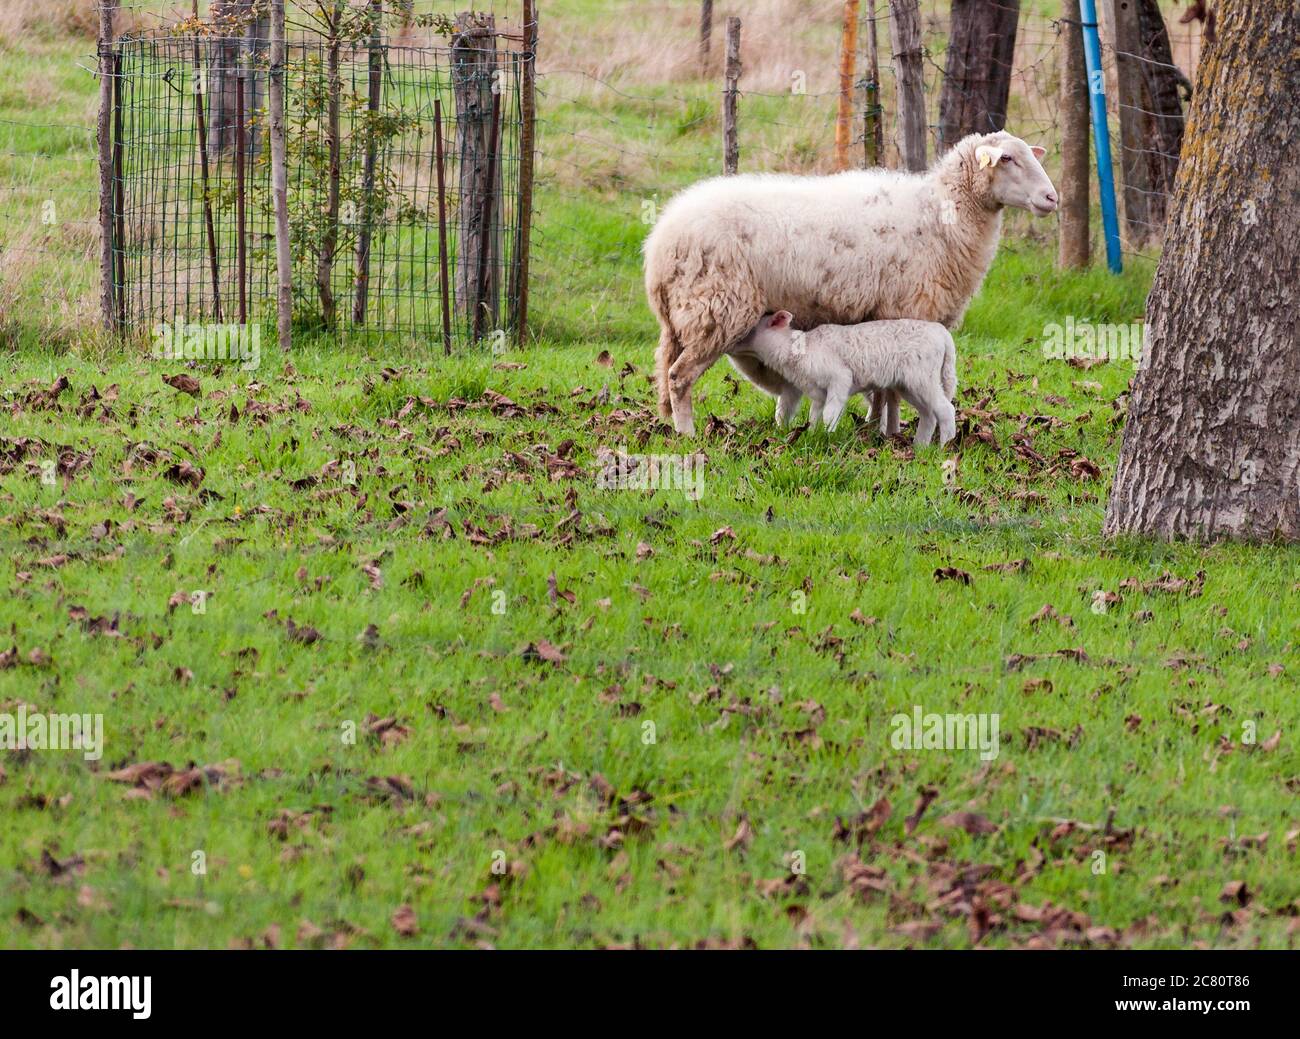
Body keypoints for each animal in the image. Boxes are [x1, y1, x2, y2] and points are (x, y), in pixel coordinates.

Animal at [728, 310, 961, 444]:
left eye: (750, 330)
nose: (731, 343)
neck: (798, 350)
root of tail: (943, 334)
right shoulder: (817, 392)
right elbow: (814, 415)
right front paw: (813, 436)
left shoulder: (840, 379)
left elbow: (830, 414)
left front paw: (828, 437)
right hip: (910, 384)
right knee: (928, 414)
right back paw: (920, 447)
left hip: (922, 377)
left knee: (945, 410)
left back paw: (945, 446)